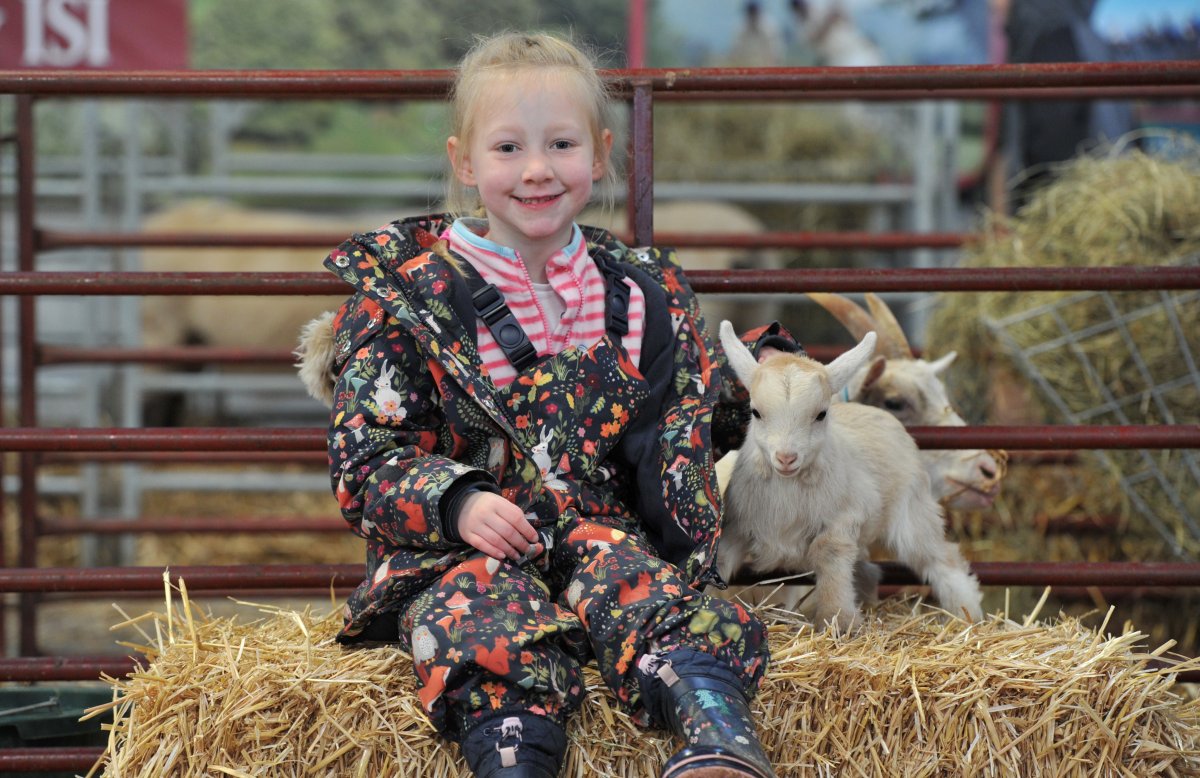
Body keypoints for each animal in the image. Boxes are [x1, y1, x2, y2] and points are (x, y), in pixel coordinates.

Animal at [715, 320, 983, 631]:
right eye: (756, 412)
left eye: (820, 414)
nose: (786, 458)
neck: (788, 492)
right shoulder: (736, 526)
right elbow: (718, 561)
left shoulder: (842, 519)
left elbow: (829, 554)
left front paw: (838, 620)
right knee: (869, 571)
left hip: (913, 511)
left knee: (941, 559)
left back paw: (967, 614)